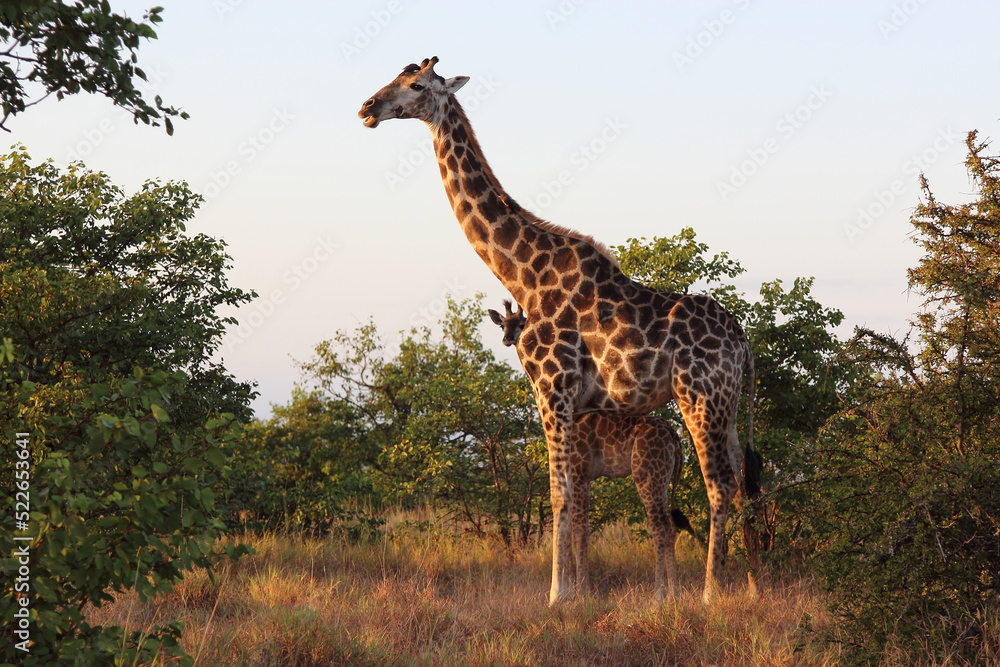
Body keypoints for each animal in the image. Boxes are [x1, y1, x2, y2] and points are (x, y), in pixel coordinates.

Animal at [489, 299, 700, 599]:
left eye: (521, 323)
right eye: (502, 325)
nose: (508, 338)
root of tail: (674, 437)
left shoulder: (579, 472)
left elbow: (580, 530)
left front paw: (581, 591)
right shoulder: (584, 477)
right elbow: (576, 528)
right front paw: (574, 589)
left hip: (647, 474)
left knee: (661, 526)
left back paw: (660, 594)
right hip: (663, 478)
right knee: (670, 526)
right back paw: (673, 593)